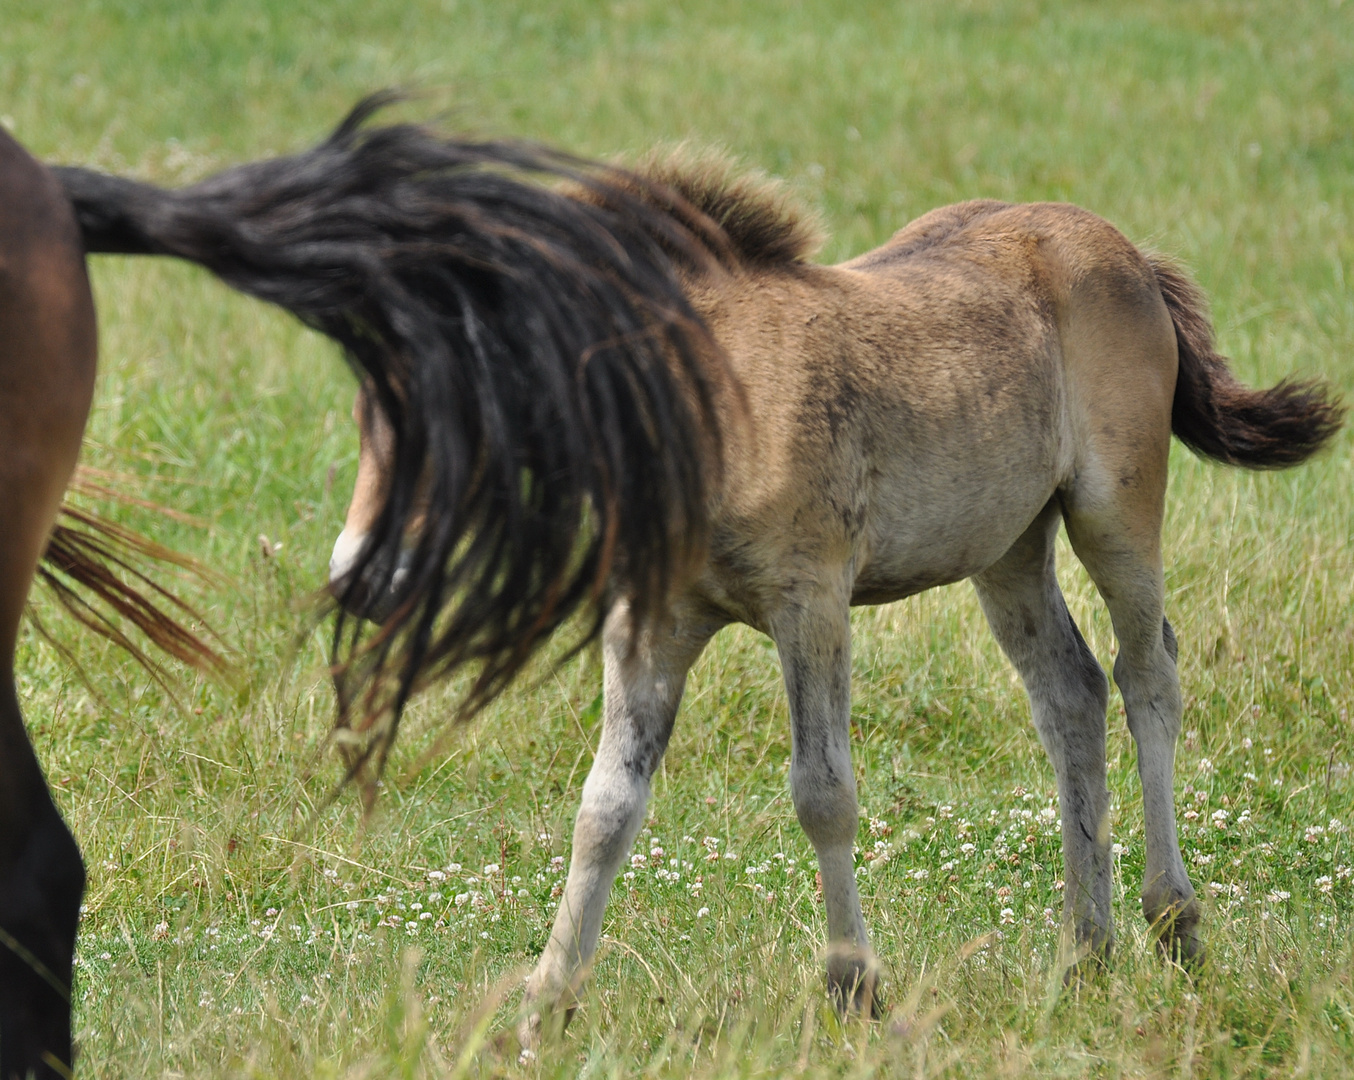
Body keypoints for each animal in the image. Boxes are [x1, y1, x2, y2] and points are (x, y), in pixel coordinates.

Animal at [327, 148, 1343, 1033]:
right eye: (362, 408)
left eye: (460, 413)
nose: (358, 579)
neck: (717, 402)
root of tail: (1128, 252)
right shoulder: (652, 620)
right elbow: (606, 806)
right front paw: (546, 1005)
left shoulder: (810, 602)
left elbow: (822, 792)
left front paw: (855, 988)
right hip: (1009, 544)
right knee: (1071, 693)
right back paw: (1083, 954)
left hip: (1113, 511)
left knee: (1147, 672)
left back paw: (1174, 925)